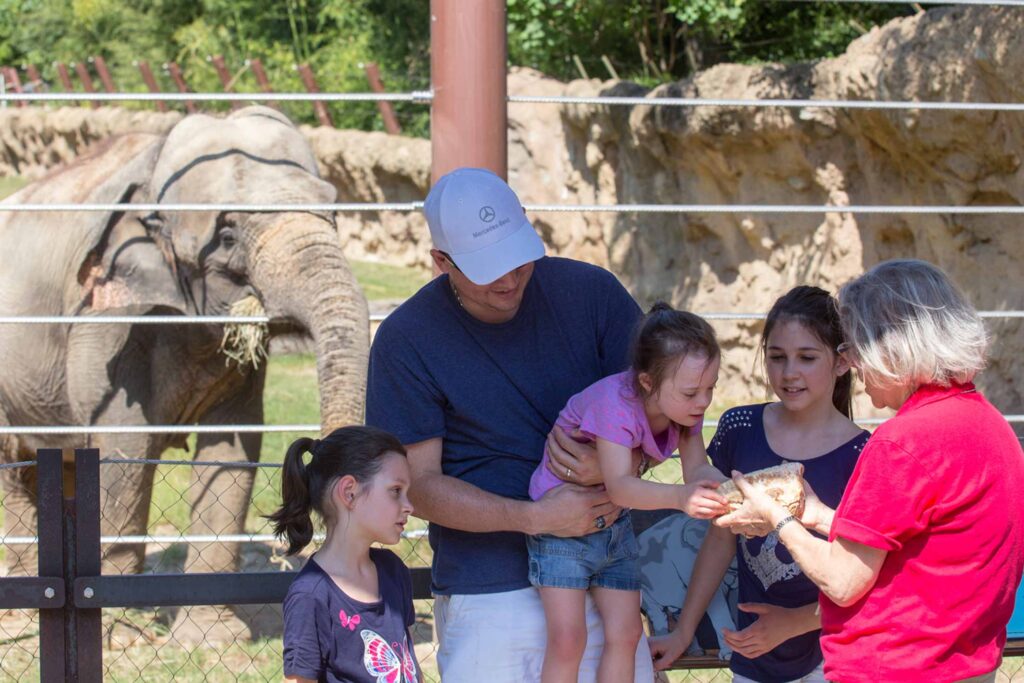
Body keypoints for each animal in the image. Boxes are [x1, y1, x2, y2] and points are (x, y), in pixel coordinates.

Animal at [0, 105, 368, 634]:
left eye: (334, 214)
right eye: (228, 236)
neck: (153, 170)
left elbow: (235, 442)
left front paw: (213, 635)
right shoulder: (109, 318)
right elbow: (124, 445)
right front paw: (122, 631)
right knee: (13, 463)